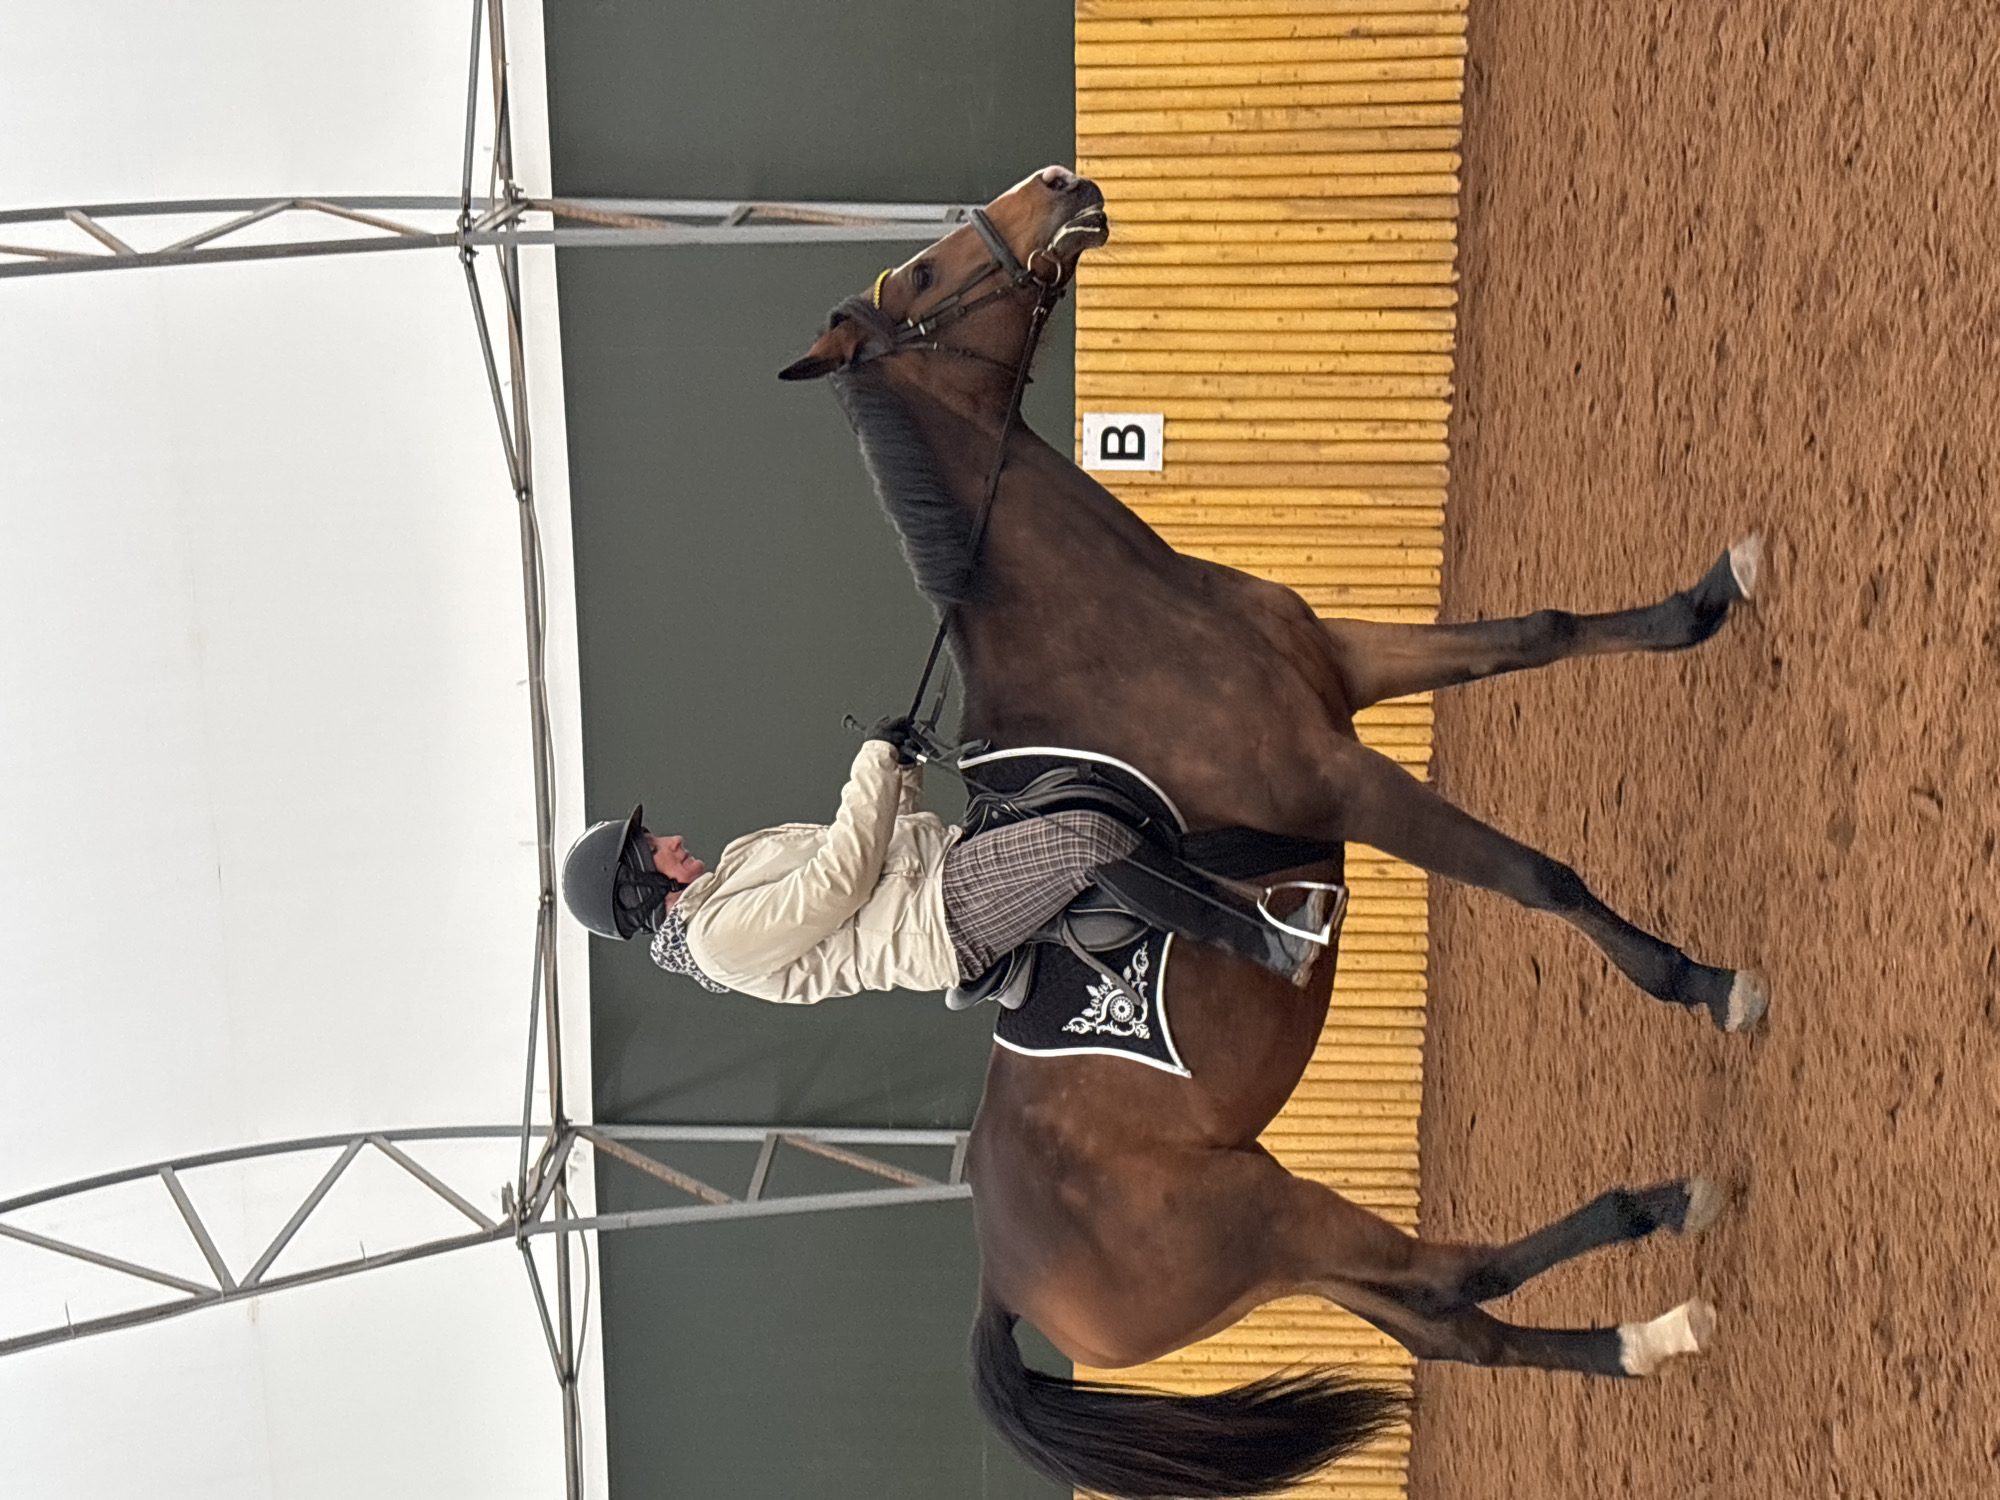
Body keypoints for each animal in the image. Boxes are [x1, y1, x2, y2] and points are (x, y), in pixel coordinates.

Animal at [779, 166, 1762, 1500]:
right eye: (925, 277)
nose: (1061, 187)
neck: (1122, 627)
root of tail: (998, 1276)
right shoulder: (1341, 781)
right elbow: (1537, 879)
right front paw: (1708, 985)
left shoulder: (1346, 671)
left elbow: (1538, 630)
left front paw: (1711, 595)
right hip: (1264, 1227)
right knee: (1452, 1278)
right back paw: (1664, 1215)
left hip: (1278, 1244)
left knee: (1450, 1325)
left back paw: (1644, 1336)